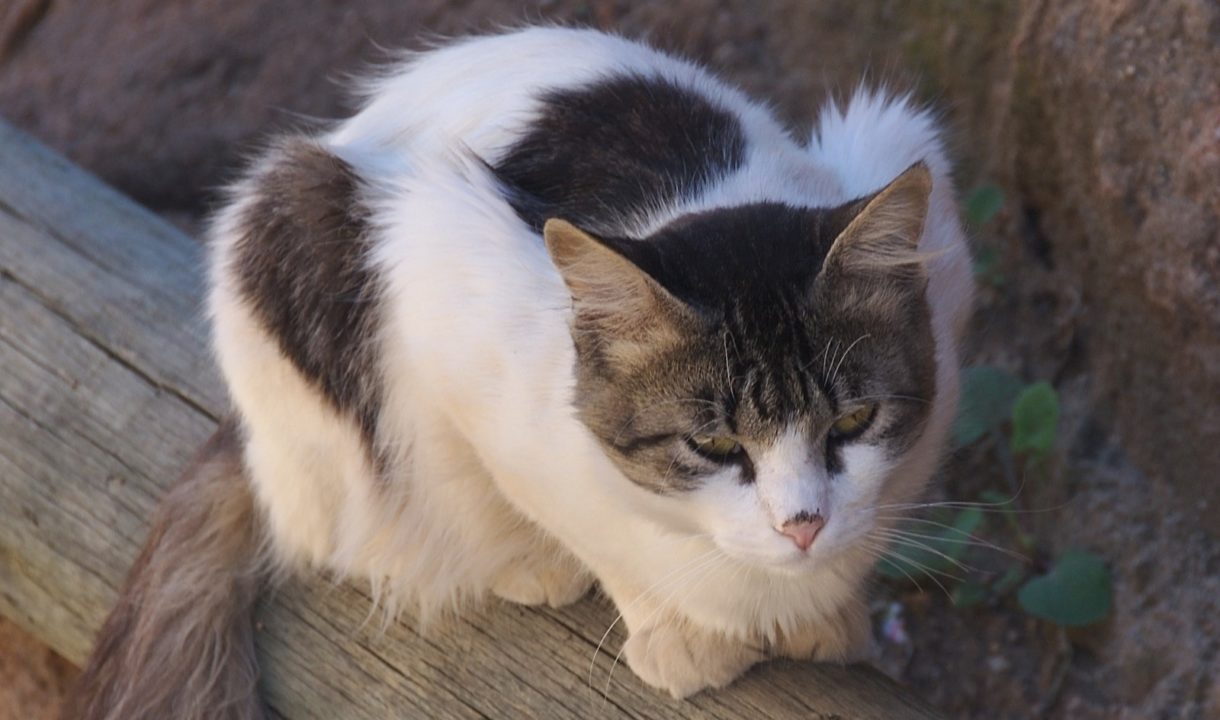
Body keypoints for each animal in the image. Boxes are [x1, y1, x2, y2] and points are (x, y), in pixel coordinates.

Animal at [73, 25, 971, 717]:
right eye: (714, 445)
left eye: (853, 422)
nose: (803, 526)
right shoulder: (444, 305)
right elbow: (592, 530)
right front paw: (677, 636)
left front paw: (831, 620)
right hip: (289, 234)